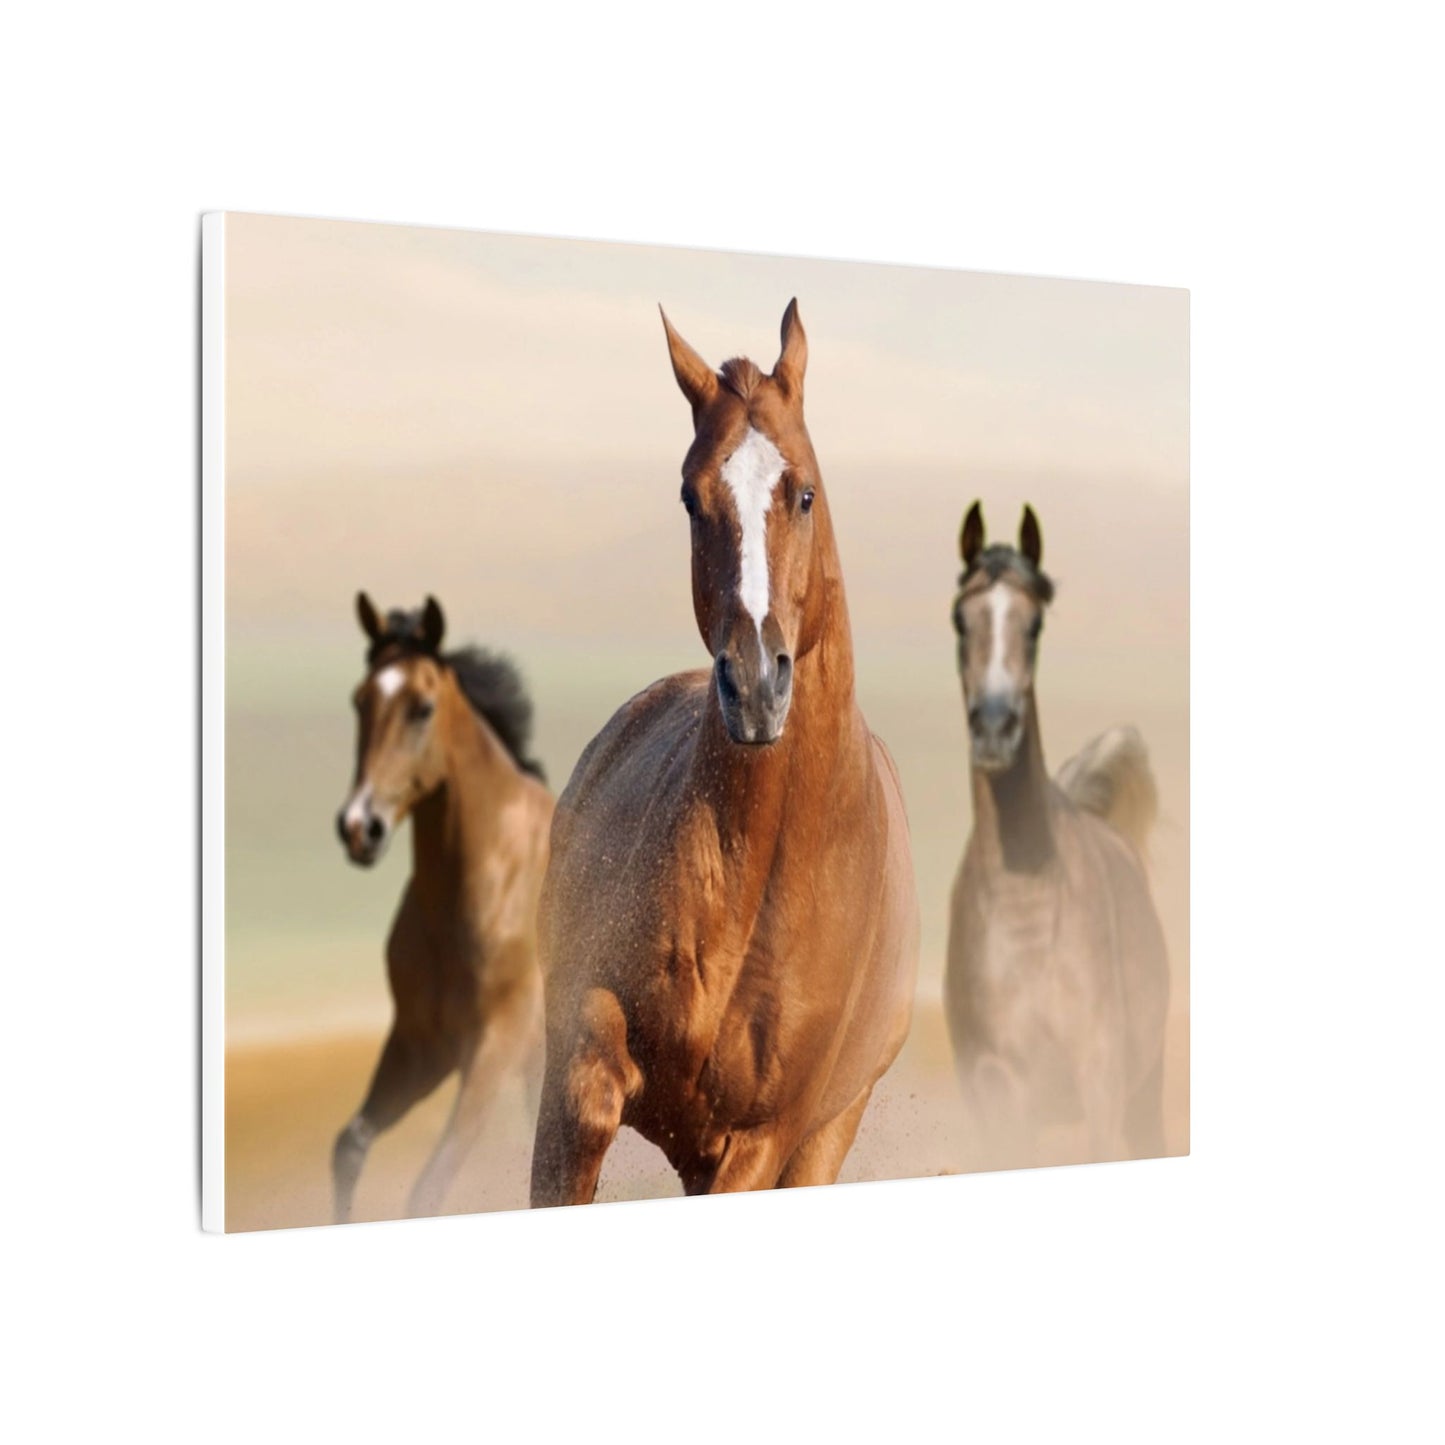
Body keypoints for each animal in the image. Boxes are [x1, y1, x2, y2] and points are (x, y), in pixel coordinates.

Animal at [332, 593, 554, 1222]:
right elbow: (350, 1147)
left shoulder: (495, 1047)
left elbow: (427, 1189)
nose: (359, 827)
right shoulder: (421, 1045)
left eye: (422, 707)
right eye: (360, 700)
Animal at [530, 301, 919, 1205]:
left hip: (822, 1133)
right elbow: (586, 1102)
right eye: (689, 495)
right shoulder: (583, 1051)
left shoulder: (761, 1139)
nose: (754, 684)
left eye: (803, 492)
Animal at [944, 502, 1170, 1168]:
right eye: (960, 619)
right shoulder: (996, 1094)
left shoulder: (1101, 1083)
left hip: (1145, 1093)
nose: (995, 729)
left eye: (1035, 623)